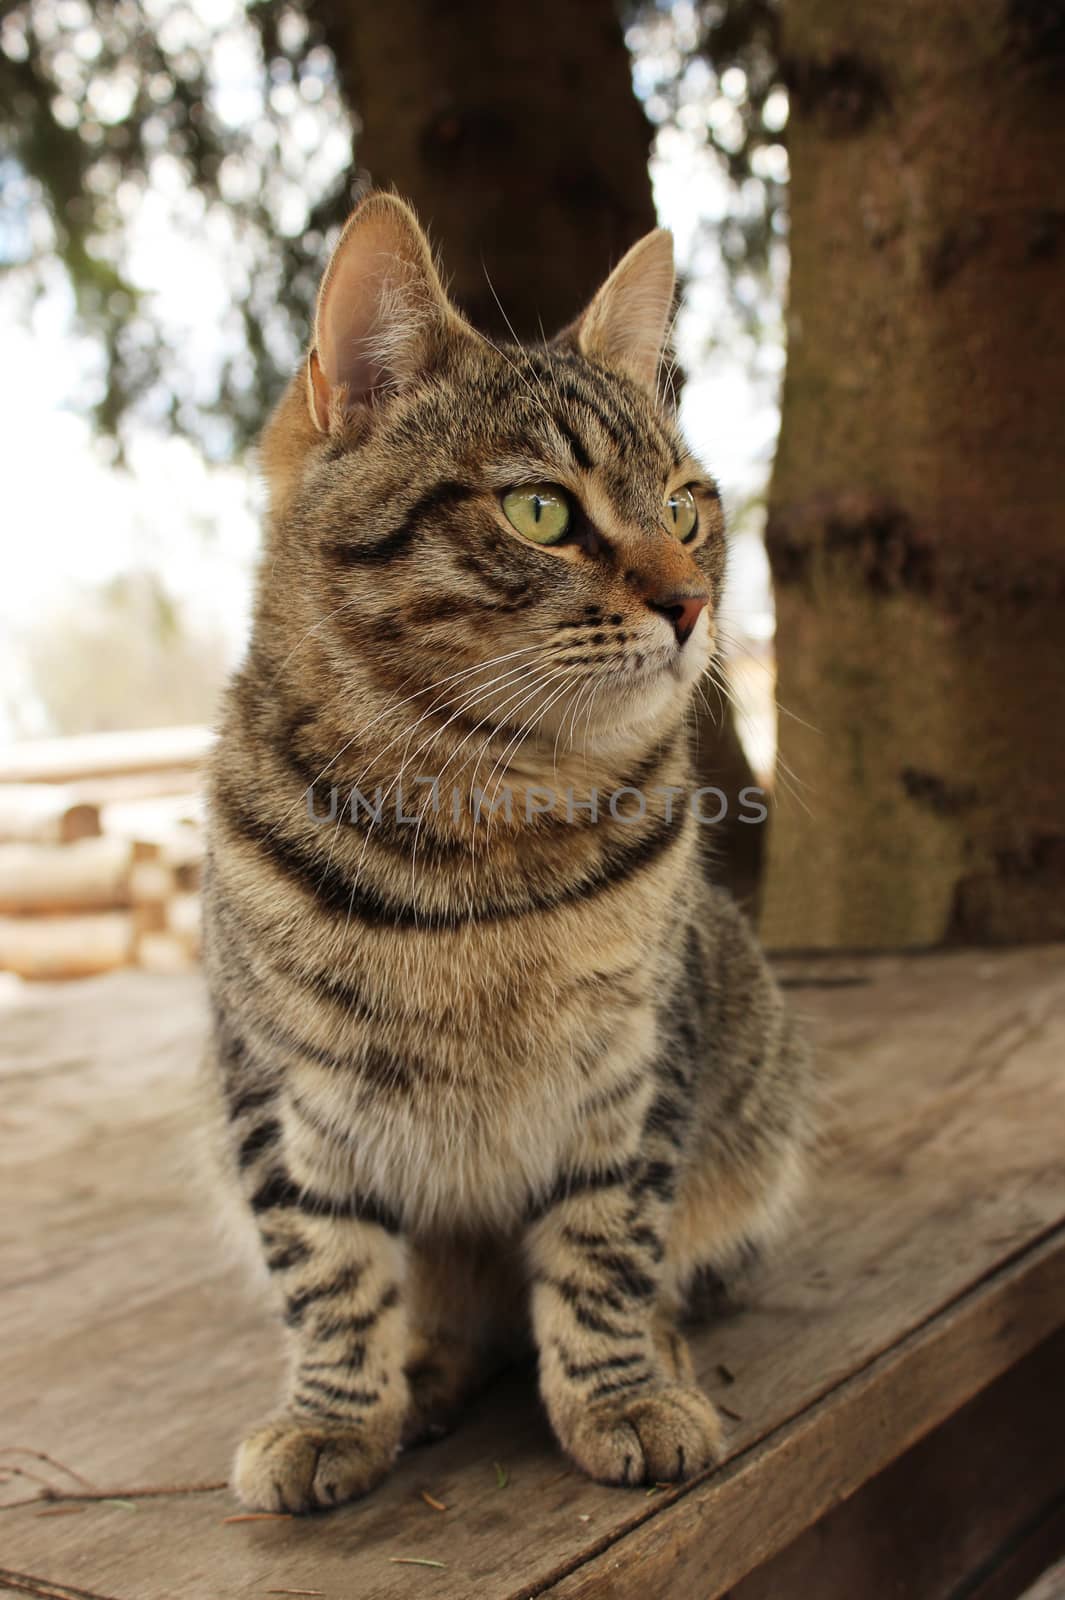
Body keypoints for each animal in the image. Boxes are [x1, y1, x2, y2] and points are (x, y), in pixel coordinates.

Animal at [203, 193, 809, 1504]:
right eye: (543, 512)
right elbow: (328, 1271)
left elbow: (606, 1250)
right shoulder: (279, 1089)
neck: (477, 833)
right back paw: (424, 1370)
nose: (693, 603)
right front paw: (332, 1412)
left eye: (685, 505)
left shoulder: (636, 1065)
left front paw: (621, 1395)